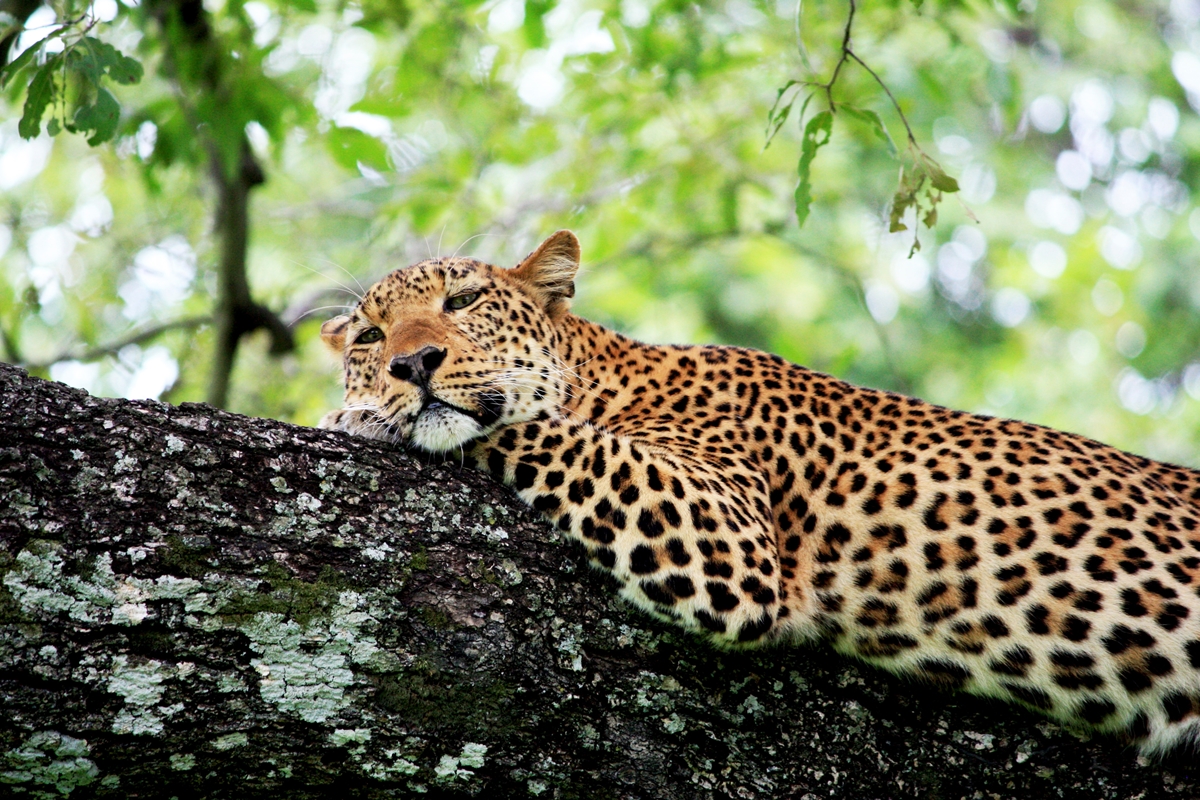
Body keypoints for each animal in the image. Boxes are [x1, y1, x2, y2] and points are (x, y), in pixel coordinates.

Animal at [319, 227, 1200, 753]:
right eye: (369, 335)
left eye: (464, 300)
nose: (409, 364)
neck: (608, 376)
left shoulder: (722, 533)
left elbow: (530, 431)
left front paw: (353, 416)